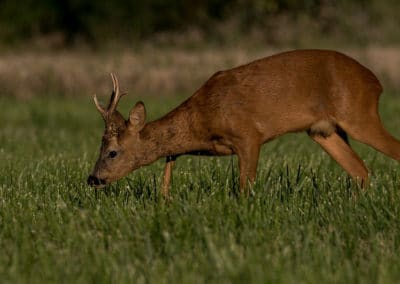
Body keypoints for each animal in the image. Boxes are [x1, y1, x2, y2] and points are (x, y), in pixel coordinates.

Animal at [86, 50, 400, 196]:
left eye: (112, 152)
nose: (93, 179)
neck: (201, 118)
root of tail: (376, 82)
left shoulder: (248, 135)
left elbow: (244, 187)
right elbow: (169, 160)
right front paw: (164, 200)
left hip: (358, 114)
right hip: (323, 131)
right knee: (361, 172)